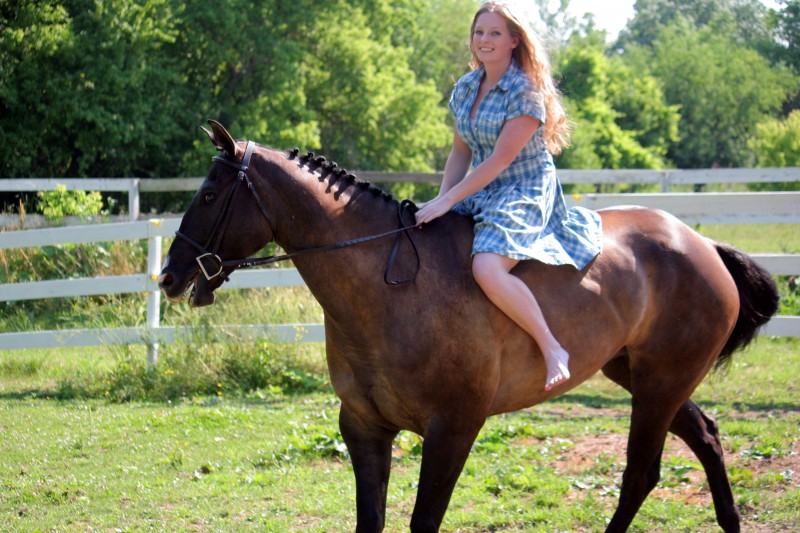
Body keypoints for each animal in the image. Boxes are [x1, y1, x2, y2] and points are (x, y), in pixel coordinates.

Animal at [158, 120, 779, 532]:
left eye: (209, 195)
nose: (169, 276)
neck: (390, 289)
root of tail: (700, 242)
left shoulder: (452, 430)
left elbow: (423, 522)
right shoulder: (363, 428)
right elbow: (370, 521)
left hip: (660, 384)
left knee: (641, 473)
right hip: (645, 377)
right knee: (706, 438)